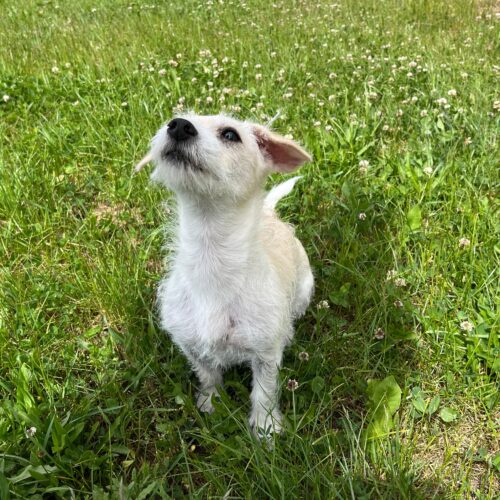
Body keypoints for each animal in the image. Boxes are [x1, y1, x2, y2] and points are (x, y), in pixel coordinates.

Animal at [136, 113, 314, 435]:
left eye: (230, 134)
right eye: (174, 118)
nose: (178, 125)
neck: (211, 260)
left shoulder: (265, 354)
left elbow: (264, 391)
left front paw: (265, 427)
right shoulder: (190, 344)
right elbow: (208, 374)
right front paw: (211, 403)